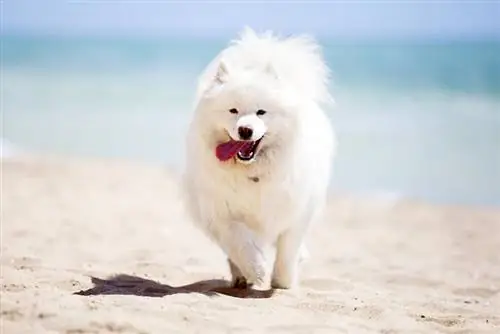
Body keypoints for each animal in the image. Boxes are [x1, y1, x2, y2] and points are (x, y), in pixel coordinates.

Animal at [182, 27, 334, 290]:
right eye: (233, 110)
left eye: (261, 112)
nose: (245, 130)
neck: (252, 170)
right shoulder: (221, 212)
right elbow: (240, 243)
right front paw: (257, 271)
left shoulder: (295, 211)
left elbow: (287, 250)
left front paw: (282, 282)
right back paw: (241, 277)